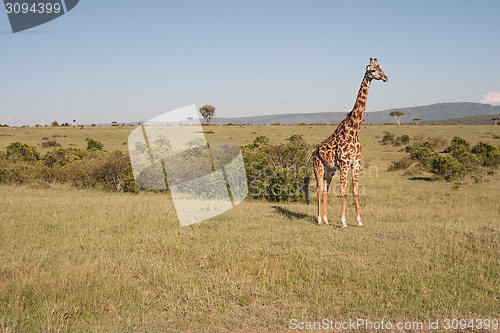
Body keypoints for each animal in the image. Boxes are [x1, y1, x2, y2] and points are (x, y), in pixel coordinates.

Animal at [302, 58, 388, 227]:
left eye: (381, 68)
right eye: (372, 70)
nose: (386, 78)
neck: (354, 130)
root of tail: (313, 152)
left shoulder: (356, 162)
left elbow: (355, 191)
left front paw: (359, 221)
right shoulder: (344, 163)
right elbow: (343, 192)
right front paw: (343, 222)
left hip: (329, 170)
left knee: (325, 190)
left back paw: (326, 220)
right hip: (318, 167)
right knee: (318, 190)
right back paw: (319, 219)